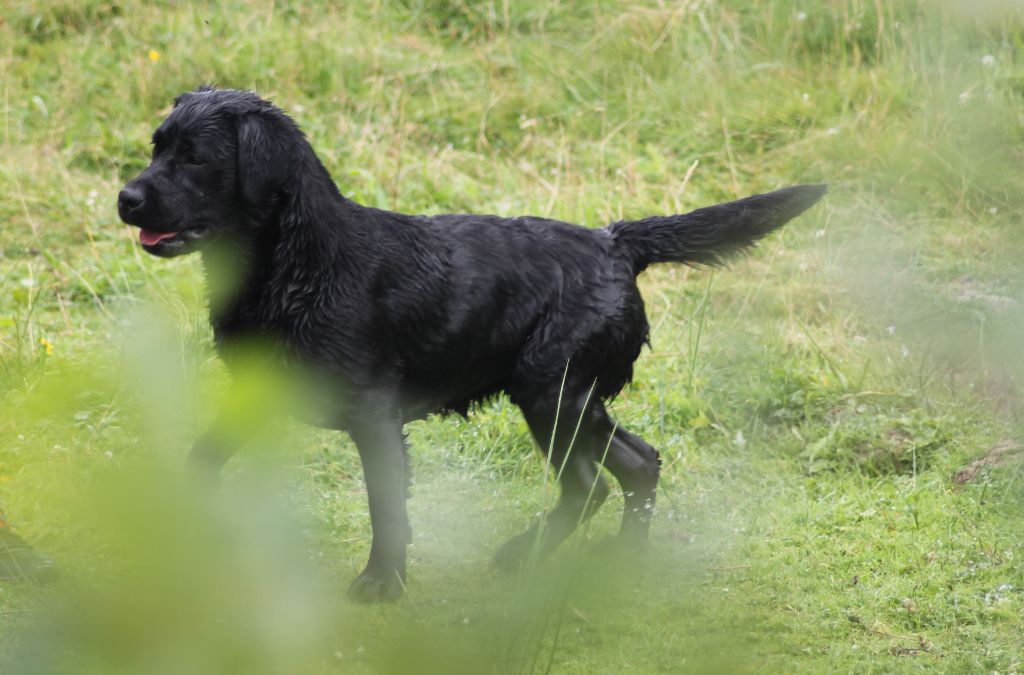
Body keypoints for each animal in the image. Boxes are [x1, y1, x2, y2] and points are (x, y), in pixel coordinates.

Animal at [117, 88, 823, 602]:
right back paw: (620, 557)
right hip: (574, 401)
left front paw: (381, 583)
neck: (297, 265)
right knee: (639, 463)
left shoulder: (375, 419)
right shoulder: (256, 393)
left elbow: (386, 509)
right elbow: (201, 459)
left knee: (587, 486)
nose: (125, 197)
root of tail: (614, 241)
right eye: (157, 147)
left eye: (196, 157)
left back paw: (525, 554)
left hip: (550, 394)